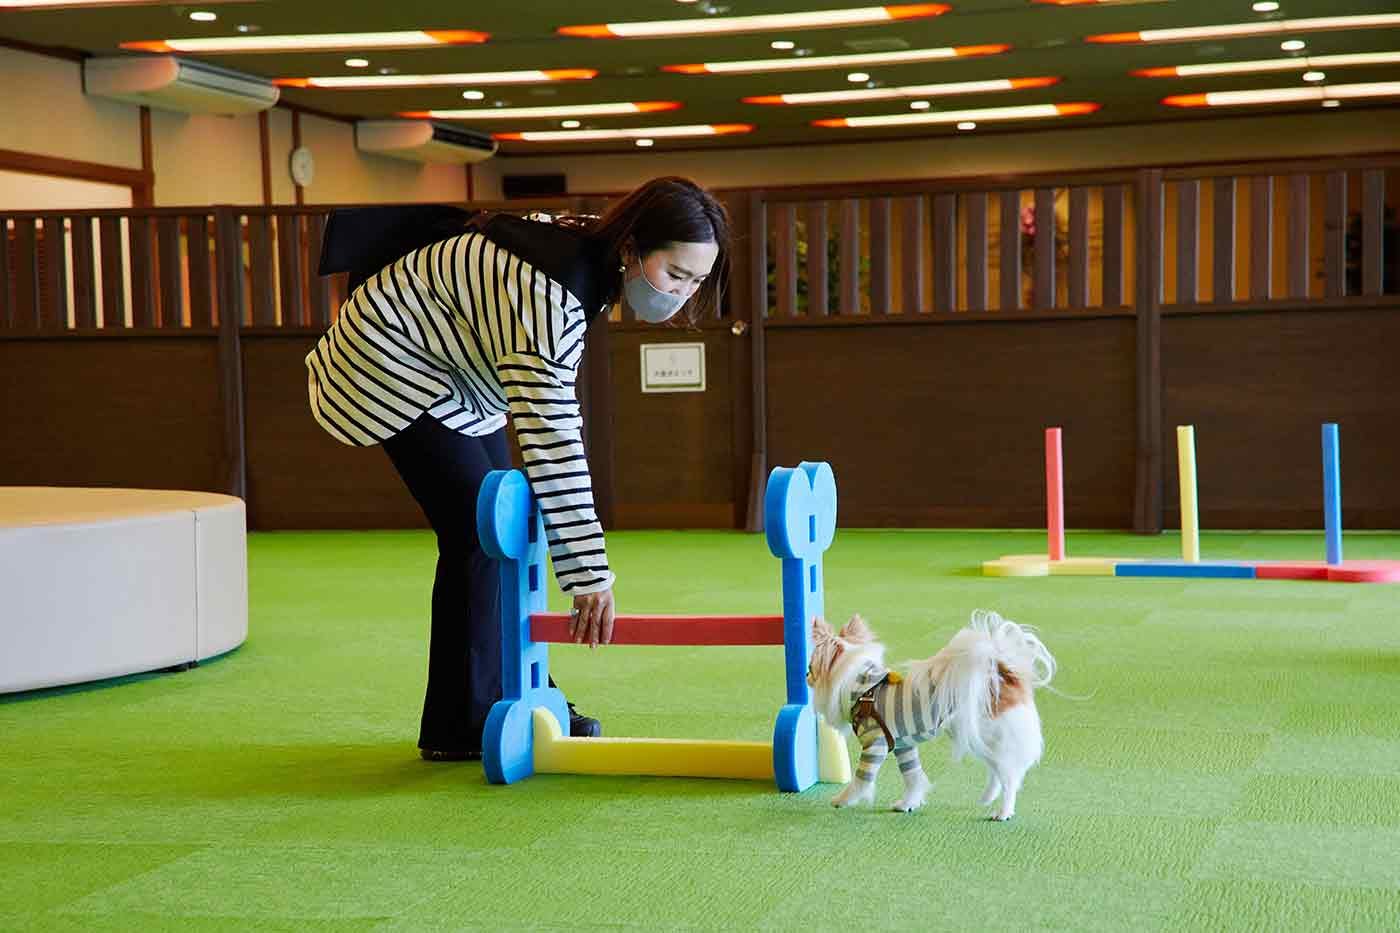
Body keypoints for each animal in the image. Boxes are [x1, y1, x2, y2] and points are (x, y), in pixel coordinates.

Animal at [812, 610, 1052, 812]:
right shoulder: (904, 746)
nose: (806, 676)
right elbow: (913, 777)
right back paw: (987, 798)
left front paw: (843, 799)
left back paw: (1004, 812)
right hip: (979, 738)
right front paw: (908, 804)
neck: (864, 688)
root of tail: (1002, 674)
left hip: (993, 737)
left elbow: (861, 779)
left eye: (810, 667)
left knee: (1010, 778)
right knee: (998, 771)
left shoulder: (875, 745)